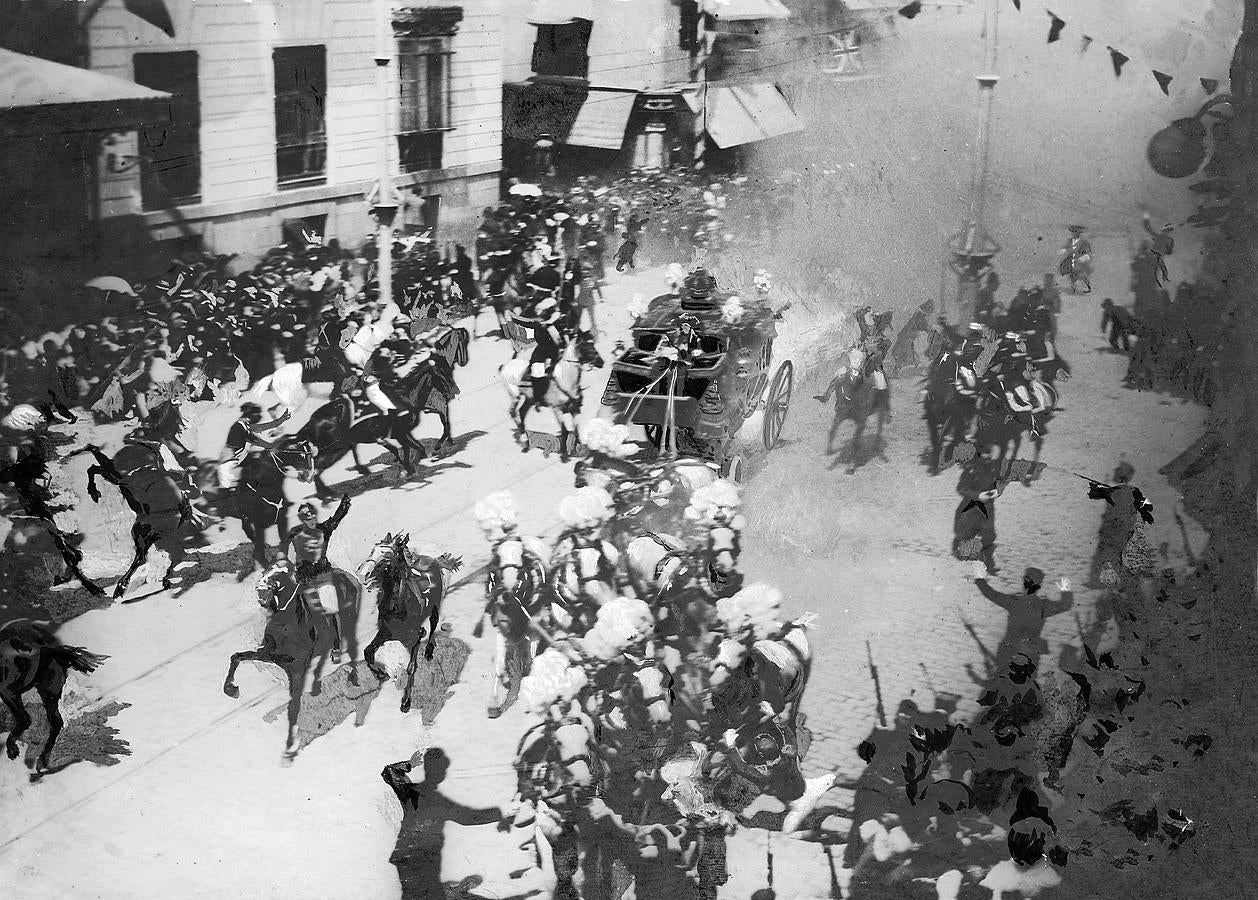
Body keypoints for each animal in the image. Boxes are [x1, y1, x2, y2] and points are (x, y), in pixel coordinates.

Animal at [1, 619, 108, 775]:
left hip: (16, 692)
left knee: (27, 719)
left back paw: (25, 755)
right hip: (49, 690)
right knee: (54, 721)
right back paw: (42, 761)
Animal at [217, 563, 344, 760]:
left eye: (283, 575)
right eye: (268, 569)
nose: (260, 591)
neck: (287, 629)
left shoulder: (297, 670)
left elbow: (294, 703)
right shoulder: (266, 655)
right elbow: (237, 657)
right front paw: (231, 688)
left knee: (335, 624)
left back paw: (335, 652)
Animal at [354, 536, 462, 720]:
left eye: (387, 557)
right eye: (372, 551)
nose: (362, 573)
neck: (398, 606)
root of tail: (433, 558)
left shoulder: (417, 635)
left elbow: (411, 667)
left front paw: (406, 703)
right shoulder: (386, 631)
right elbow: (368, 652)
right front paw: (380, 673)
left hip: (436, 605)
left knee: (434, 622)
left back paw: (429, 651)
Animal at [495, 329, 603, 465]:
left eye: (593, 344)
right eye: (585, 346)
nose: (601, 362)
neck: (564, 379)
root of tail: (505, 366)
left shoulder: (574, 409)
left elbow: (575, 429)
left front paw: (577, 450)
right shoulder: (557, 410)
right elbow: (564, 431)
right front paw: (564, 455)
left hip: (529, 399)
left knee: (522, 411)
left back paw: (525, 437)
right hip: (515, 396)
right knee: (513, 412)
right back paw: (522, 438)